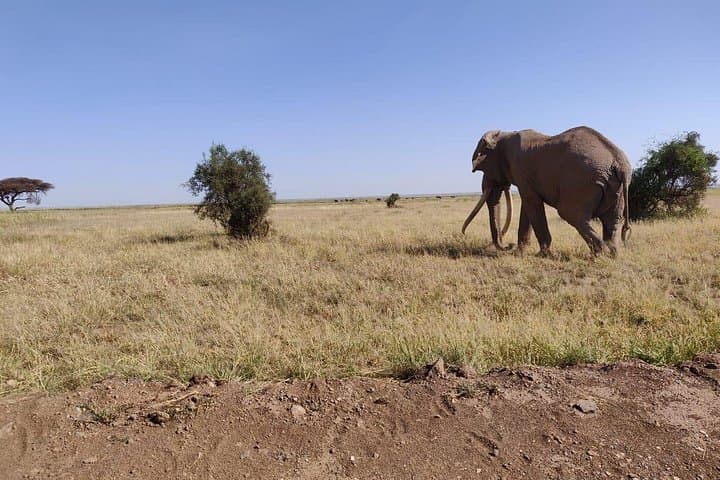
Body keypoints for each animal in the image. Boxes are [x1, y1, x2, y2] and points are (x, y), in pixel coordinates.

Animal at [461, 126, 632, 255]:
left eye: (485, 169)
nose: (508, 245)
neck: (504, 135)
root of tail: (619, 163)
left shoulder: (520, 169)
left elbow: (531, 202)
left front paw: (540, 254)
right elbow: (528, 206)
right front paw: (521, 252)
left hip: (582, 182)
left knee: (571, 215)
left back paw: (600, 254)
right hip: (615, 186)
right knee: (612, 220)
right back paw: (612, 254)